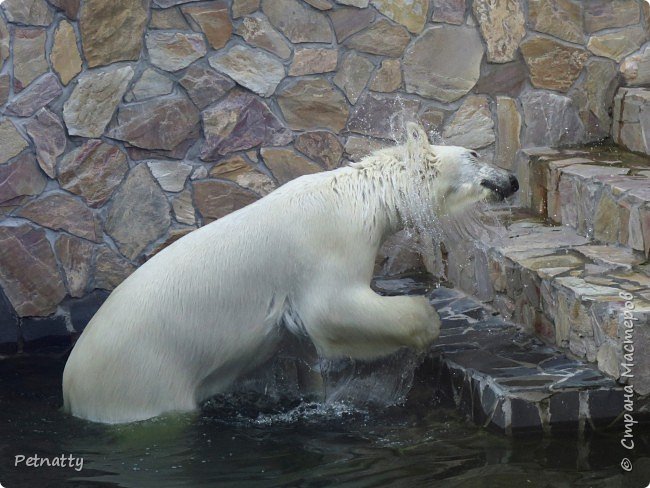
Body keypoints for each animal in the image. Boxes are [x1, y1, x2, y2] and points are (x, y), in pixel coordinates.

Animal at [60, 123, 516, 424]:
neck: (362, 195)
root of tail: (70, 384)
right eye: (475, 155)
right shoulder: (330, 242)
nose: (511, 179)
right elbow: (331, 311)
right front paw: (427, 323)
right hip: (143, 375)